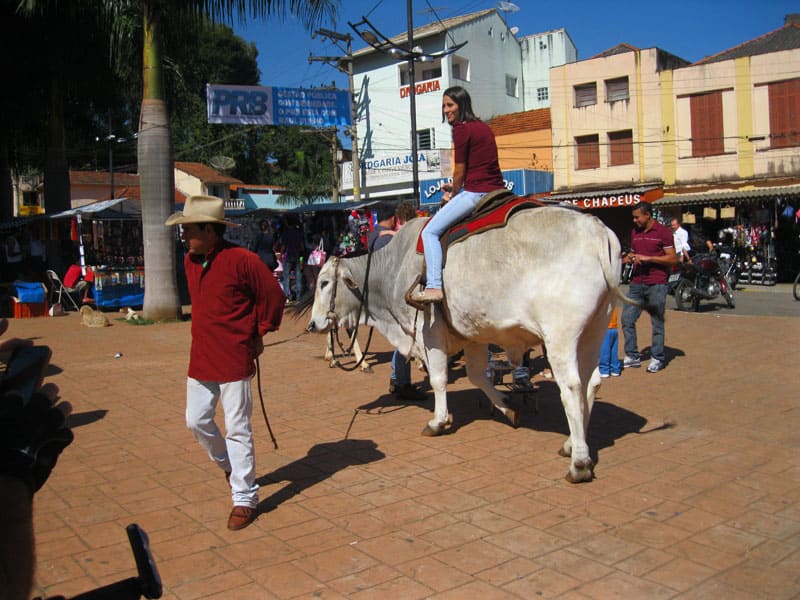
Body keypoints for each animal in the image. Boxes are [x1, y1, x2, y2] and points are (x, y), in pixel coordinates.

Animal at [304, 206, 643, 483]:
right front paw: (506, 407)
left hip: (561, 336)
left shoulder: (430, 332)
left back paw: (580, 463)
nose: (313, 323)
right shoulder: (473, 333)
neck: (392, 271)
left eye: (324, 283)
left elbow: (439, 379)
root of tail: (596, 229)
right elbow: (477, 376)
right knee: (591, 382)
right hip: (594, 329)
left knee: (572, 387)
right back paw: (573, 443)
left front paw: (438, 421)